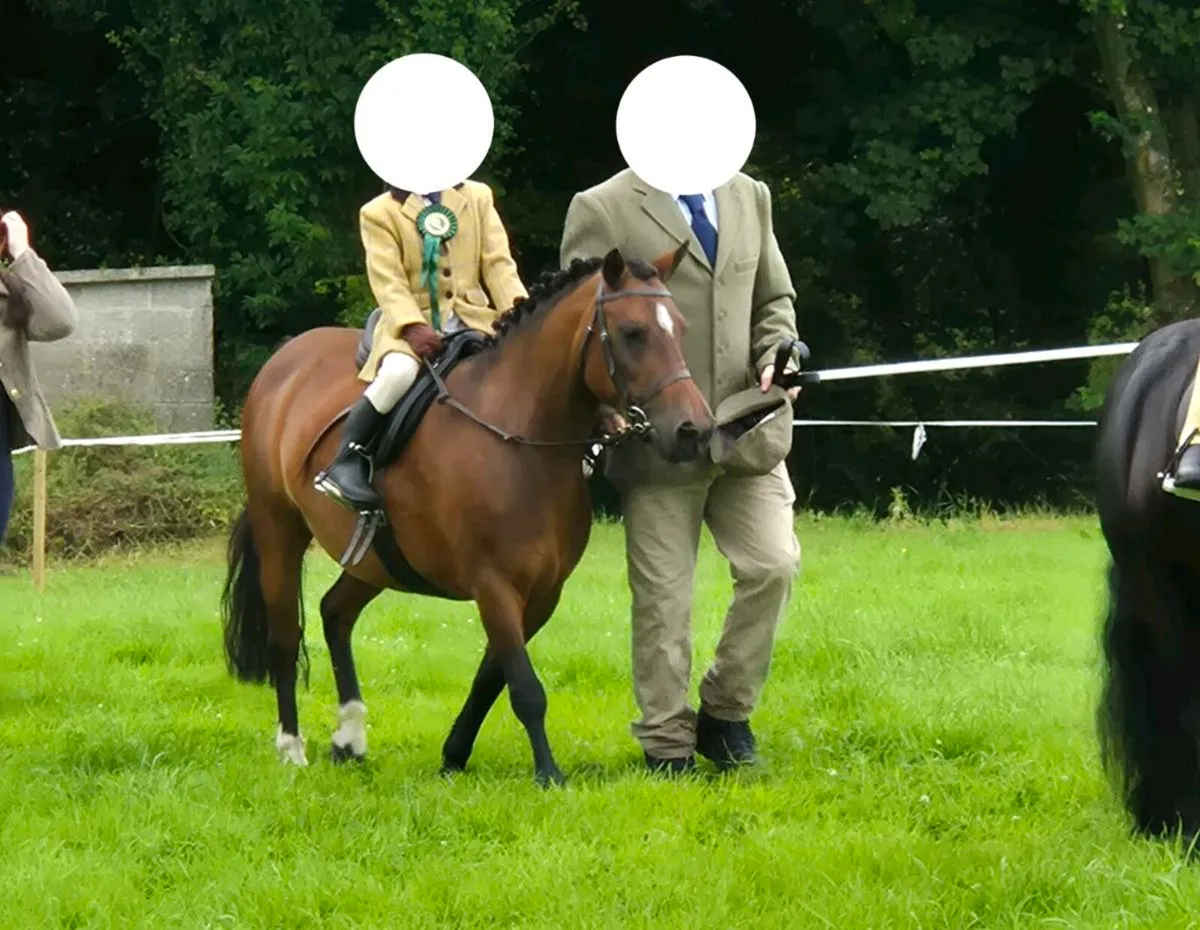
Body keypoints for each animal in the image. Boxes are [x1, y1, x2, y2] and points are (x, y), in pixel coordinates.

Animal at [219, 244, 714, 785]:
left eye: (681, 328)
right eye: (632, 332)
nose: (693, 430)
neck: (521, 438)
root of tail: (285, 360)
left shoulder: (543, 592)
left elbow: (492, 677)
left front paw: (454, 755)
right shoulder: (493, 584)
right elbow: (525, 687)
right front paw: (548, 774)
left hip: (375, 560)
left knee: (335, 613)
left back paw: (349, 738)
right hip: (279, 530)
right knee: (287, 634)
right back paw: (291, 747)